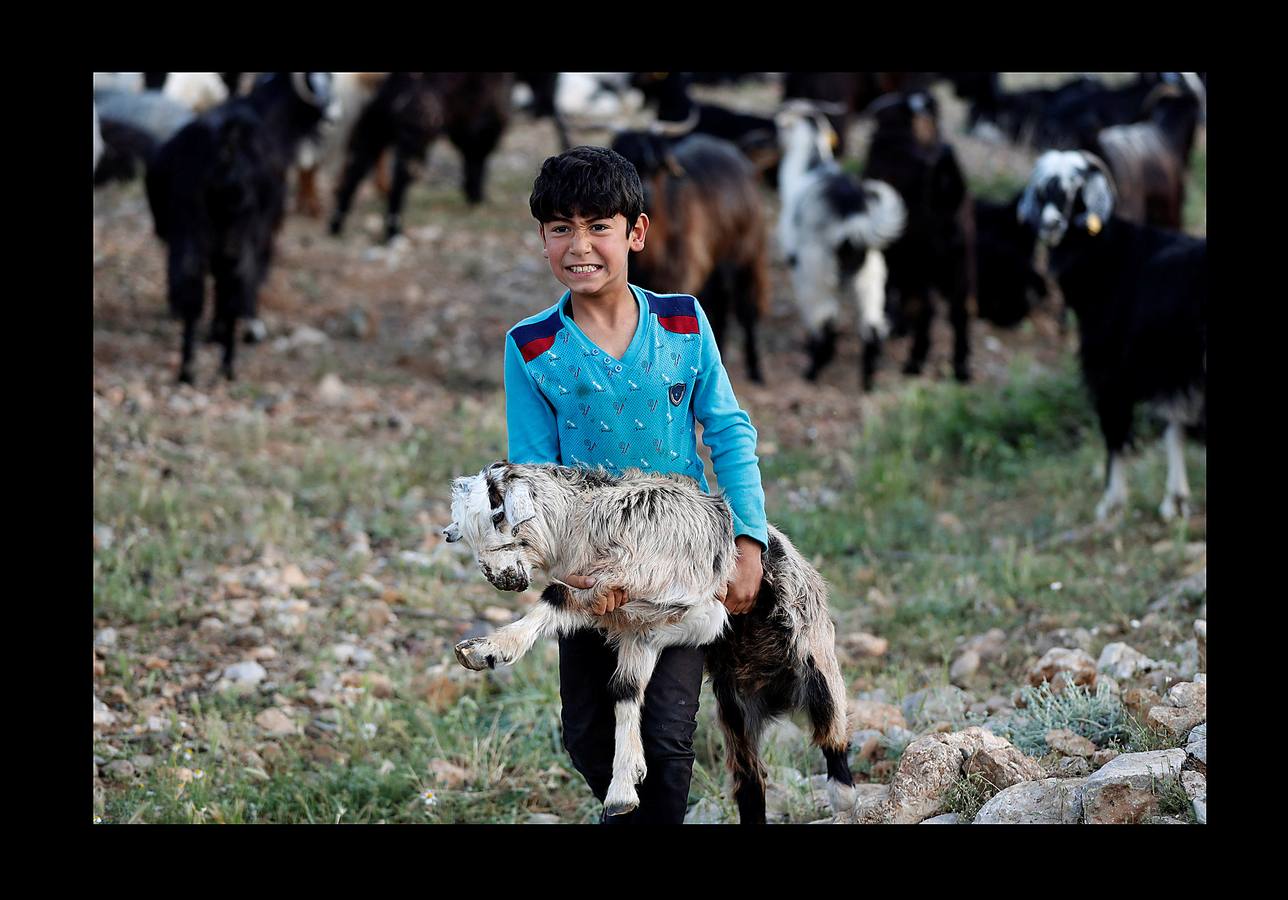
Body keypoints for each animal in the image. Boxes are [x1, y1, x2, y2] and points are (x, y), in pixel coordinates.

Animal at [144, 70, 334, 381]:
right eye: (316, 82)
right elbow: (254, 277)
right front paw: (244, 329)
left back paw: (188, 369)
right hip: (238, 235)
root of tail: (227, 147)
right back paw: (228, 365)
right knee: (235, 283)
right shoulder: (265, 231)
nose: (333, 115)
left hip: (191, 229)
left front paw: (214, 333)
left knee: (193, 287)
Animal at [327, 72, 512, 243]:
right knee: (400, 177)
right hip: (412, 137)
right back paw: (393, 230)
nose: (478, 199)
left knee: (355, 171)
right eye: (490, 140)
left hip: (373, 131)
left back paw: (336, 226)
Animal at [443, 463, 855, 824]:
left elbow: (561, 601)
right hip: (737, 706)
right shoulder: (636, 625)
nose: (501, 580)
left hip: (815, 658)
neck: (585, 521)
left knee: (832, 734)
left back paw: (844, 798)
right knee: (750, 777)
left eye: (498, 522)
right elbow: (623, 688)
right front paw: (624, 788)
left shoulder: (690, 608)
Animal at [772, 103, 906, 391]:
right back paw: (868, 382)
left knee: (825, 323)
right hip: (870, 279)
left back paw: (812, 372)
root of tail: (851, 211)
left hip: (817, 274)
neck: (810, 165)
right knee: (872, 330)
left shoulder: (799, 270)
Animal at [1014, 152, 1205, 525]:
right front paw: (1175, 500)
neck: (1111, 255)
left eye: (1075, 191)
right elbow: (1173, 427)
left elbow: (1115, 432)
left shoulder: (1109, 370)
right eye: (1042, 192)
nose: (1052, 224)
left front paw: (1111, 504)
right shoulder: (1171, 370)